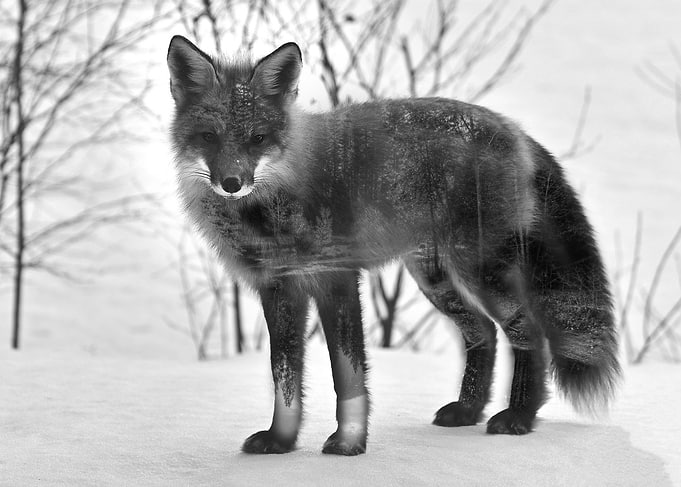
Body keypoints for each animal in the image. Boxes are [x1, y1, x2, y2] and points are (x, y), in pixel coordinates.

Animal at [166, 36, 620, 456]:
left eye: (258, 139)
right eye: (208, 137)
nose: (232, 183)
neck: (273, 207)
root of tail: (512, 128)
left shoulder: (337, 278)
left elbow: (348, 375)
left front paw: (348, 444)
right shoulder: (279, 289)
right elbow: (285, 377)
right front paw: (281, 442)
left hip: (480, 270)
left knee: (529, 332)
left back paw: (520, 417)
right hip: (435, 279)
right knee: (484, 333)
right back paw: (468, 410)